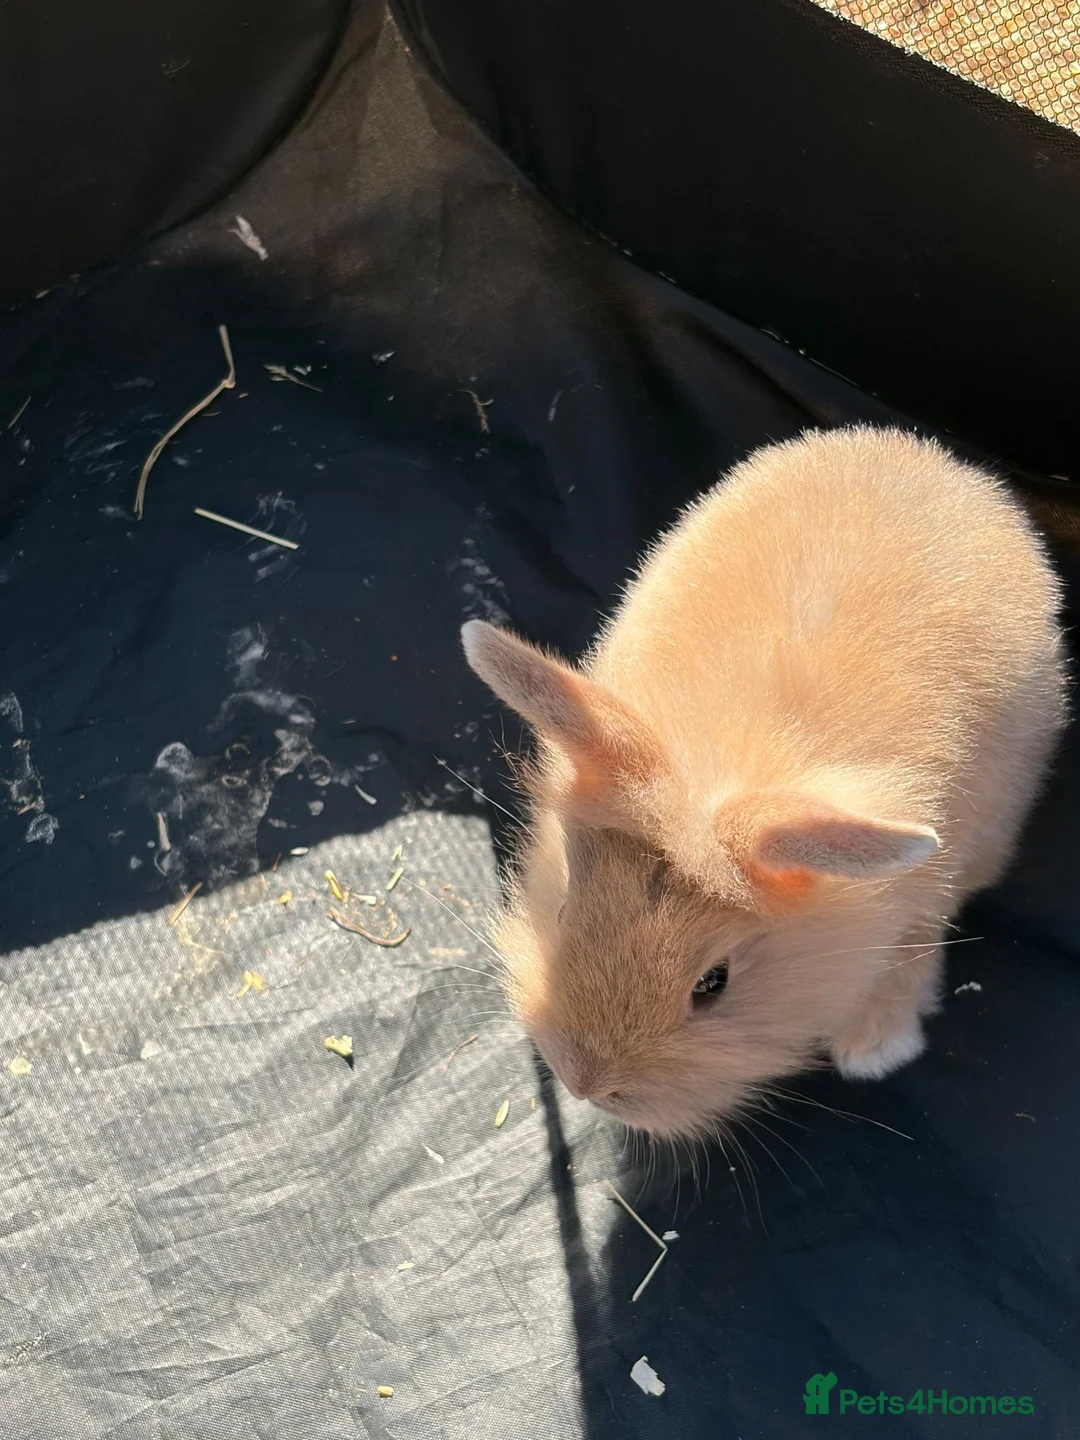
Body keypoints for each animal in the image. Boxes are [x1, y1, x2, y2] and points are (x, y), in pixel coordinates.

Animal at [461, 426, 1066, 1139]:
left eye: (713, 984)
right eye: (562, 913)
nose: (587, 1085)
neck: (720, 771)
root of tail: (936, 459)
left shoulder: (932, 878)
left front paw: (875, 1049)